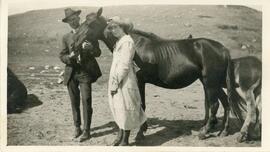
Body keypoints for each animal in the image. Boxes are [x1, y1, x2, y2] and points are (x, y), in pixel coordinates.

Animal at [73, 8, 246, 141]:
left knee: (215, 105)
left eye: (90, 23)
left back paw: (204, 132)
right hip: (211, 83)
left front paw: (140, 133)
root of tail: (223, 49)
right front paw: (142, 130)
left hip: (210, 83)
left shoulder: (140, 81)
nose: (74, 42)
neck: (136, 47)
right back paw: (223, 131)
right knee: (226, 102)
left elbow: (142, 105)